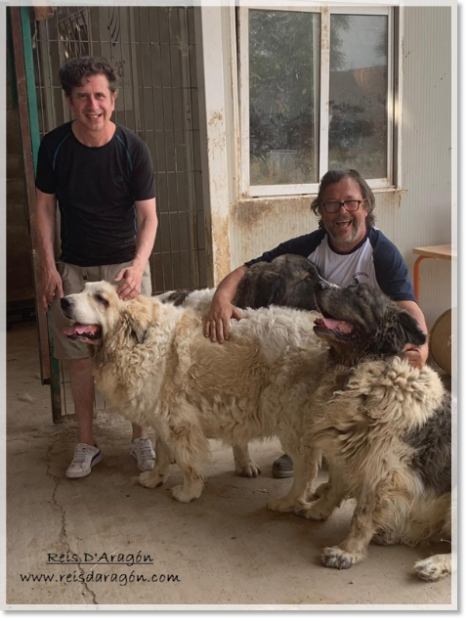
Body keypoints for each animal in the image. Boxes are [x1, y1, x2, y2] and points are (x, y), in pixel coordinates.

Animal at [60, 280, 328, 504]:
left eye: (101, 299)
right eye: (83, 289)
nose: (63, 300)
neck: (138, 342)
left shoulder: (178, 422)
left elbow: (188, 463)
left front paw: (188, 493)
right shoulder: (162, 417)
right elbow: (161, 453)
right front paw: (154, 479)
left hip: (290, 420)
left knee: (307, 468)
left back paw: (288, 502)